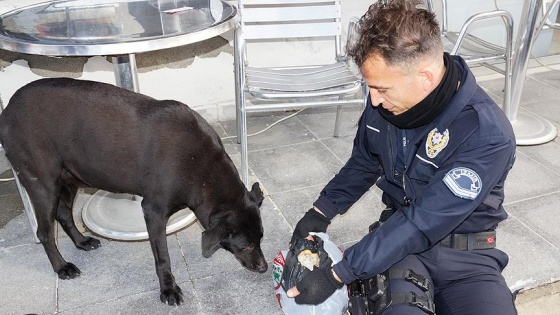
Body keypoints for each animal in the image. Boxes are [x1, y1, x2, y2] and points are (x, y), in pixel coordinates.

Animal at [0, 78, 270, 306]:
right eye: (246, 246)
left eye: (260, 239)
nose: (264, 267)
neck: (201, 167)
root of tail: (8, 109)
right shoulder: (153, 211)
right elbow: (162, 256)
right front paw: (168, 289)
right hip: (43, 185)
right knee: (44, 232)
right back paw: (61, 267)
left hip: (69, 178)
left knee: (64, 214)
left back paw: (81, 241)